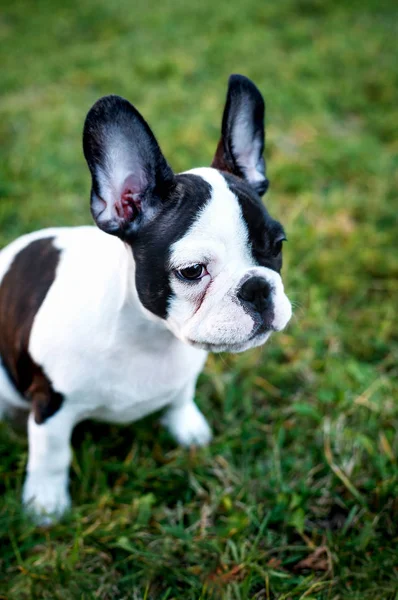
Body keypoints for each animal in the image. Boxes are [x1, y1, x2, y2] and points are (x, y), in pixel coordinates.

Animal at [0, 75, 292, 524]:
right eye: (192, 271)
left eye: (277, 246)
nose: (258, 288)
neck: (148, 336)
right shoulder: (51, 406)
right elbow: (51, 457)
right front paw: (45, 505)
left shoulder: (184, 373)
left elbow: (181, 397)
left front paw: (189, 429)